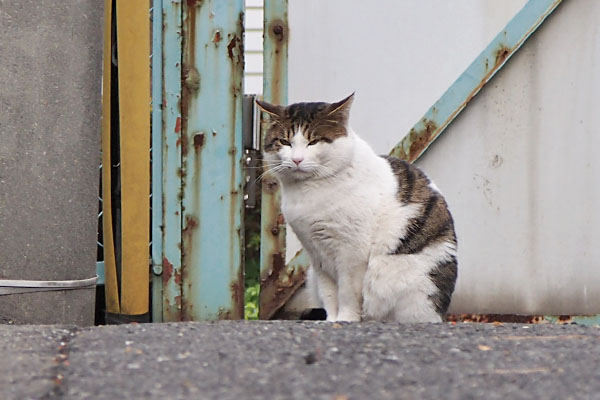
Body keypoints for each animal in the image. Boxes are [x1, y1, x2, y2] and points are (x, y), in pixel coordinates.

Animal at [255, 94, 458, 322]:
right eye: (284, 142)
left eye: (313, 141)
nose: (297, 159)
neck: (309, 192)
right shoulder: (317, 255)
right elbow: (329, 293)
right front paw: (331, 320)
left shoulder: (351, 254)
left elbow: (347, 292)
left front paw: (345, 319)